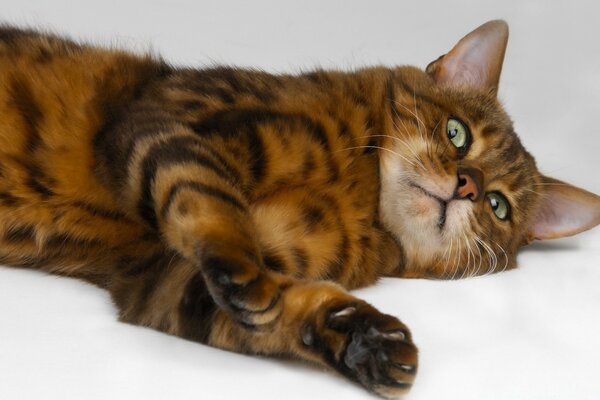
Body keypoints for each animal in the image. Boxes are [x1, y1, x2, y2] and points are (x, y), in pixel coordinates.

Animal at [1, 20, 600, 398]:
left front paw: (365, 343)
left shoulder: (154, 277)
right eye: (458, 134)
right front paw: (241, 260)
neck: (358, 195)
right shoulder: (167, 121)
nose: (468, 187)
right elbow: (206, 195)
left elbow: (266, 312)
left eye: (499, 207)